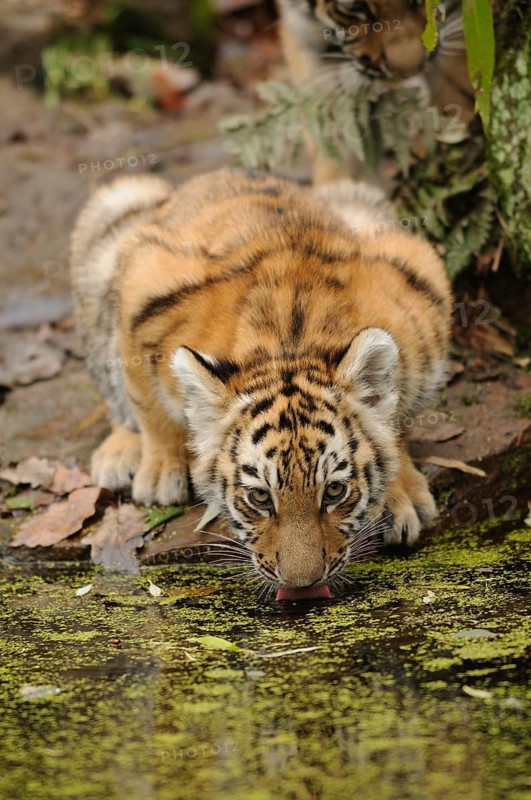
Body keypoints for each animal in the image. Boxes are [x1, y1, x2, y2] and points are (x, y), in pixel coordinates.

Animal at [71, 168, 451, 596]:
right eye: (259, 498)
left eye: (334, 491)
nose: (303, 584)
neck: (290, 344)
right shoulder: (143, 281)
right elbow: (145, 399)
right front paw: (160, 473)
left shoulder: (418, 281)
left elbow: (395, 414)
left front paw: (400, 494)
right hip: (115, 211)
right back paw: (120, 456)